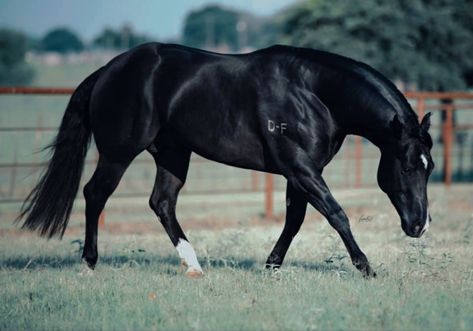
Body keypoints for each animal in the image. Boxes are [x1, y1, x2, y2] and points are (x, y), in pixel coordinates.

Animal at [17, 43, 432, 278]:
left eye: (429, 168)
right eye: (408, 165)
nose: (419, 225)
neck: (312, 92)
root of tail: (107, 71)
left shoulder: (299, 172)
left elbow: (295, 220)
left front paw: (271, 267)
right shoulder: (300, 167)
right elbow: (336, 214)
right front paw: (366, 269)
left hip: (173, 154)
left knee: (162, 203)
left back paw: (194, 267)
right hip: (120, 153)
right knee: (95, 194)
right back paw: (89, 264)